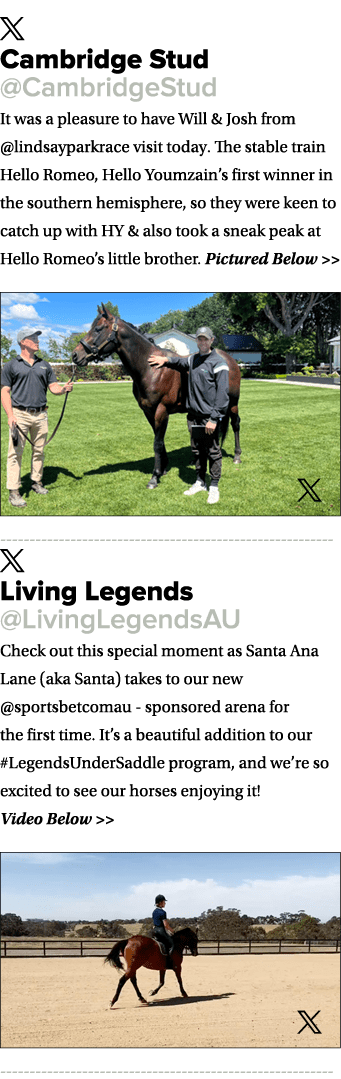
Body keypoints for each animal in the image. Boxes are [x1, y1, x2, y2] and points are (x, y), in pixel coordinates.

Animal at [71, 304, 240, 489]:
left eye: (98, 329)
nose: (75, 355)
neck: (151, 368)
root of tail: (229, 360)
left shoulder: (161, 411)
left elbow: (157, 443)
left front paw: (154, 477)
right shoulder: (148, 411)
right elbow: (160, 440)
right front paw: (163, 468)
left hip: (232, 403)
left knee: (235, 424)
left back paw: (237, 456)